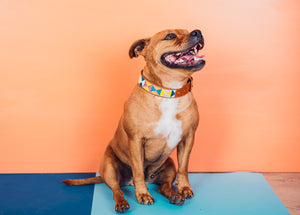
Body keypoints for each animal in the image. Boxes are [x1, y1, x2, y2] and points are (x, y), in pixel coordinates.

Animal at [62, 29, 204, 213]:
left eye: (187, 31)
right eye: (170, 36)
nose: (197, 32)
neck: (168, 92)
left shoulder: (188, 138)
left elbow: (184, 168)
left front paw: (184, 188)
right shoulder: (136, 140)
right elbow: (137, 171)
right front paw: (142, 194)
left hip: (169, 165)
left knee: (164, 186)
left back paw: (174, 195)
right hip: (109, 167)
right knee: (116, 189)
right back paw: (122, 202)